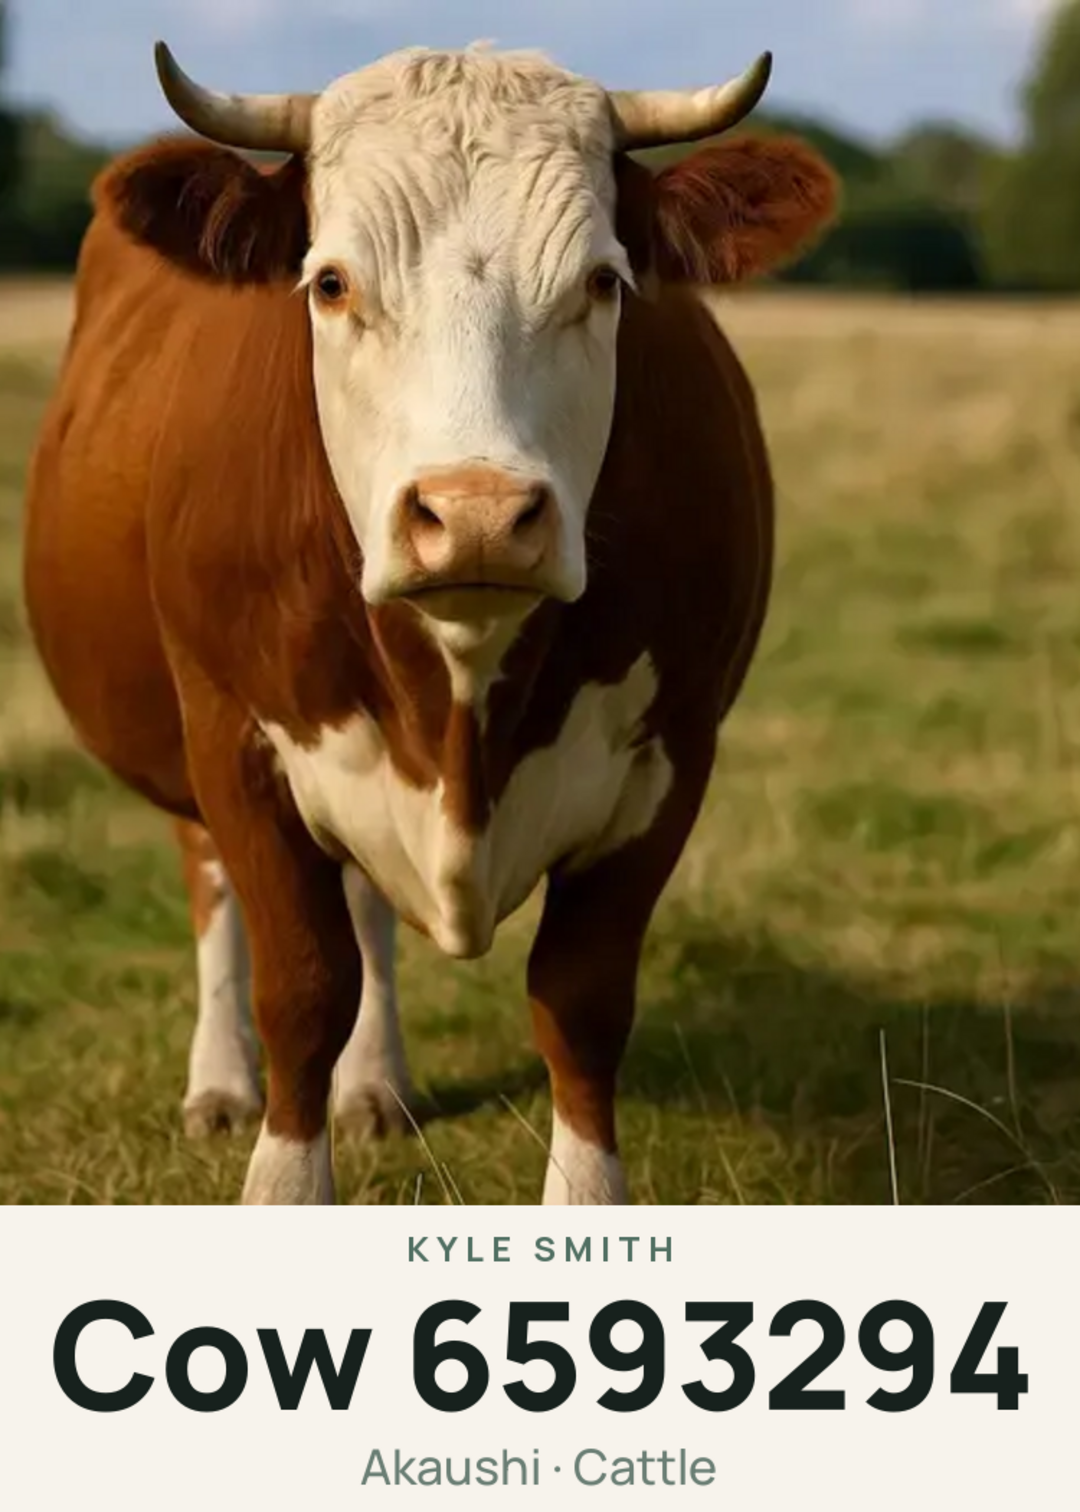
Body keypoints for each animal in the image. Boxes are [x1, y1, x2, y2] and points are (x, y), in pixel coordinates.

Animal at [22, 40, 837, 1205]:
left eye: (603, 281)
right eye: (330, 282)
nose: (477, 516)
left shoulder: (673, 757)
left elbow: (581, 1001)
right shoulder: (233, 737)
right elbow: (301, 989)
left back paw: (375, 1086)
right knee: (213, 884)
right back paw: (219, 1082)